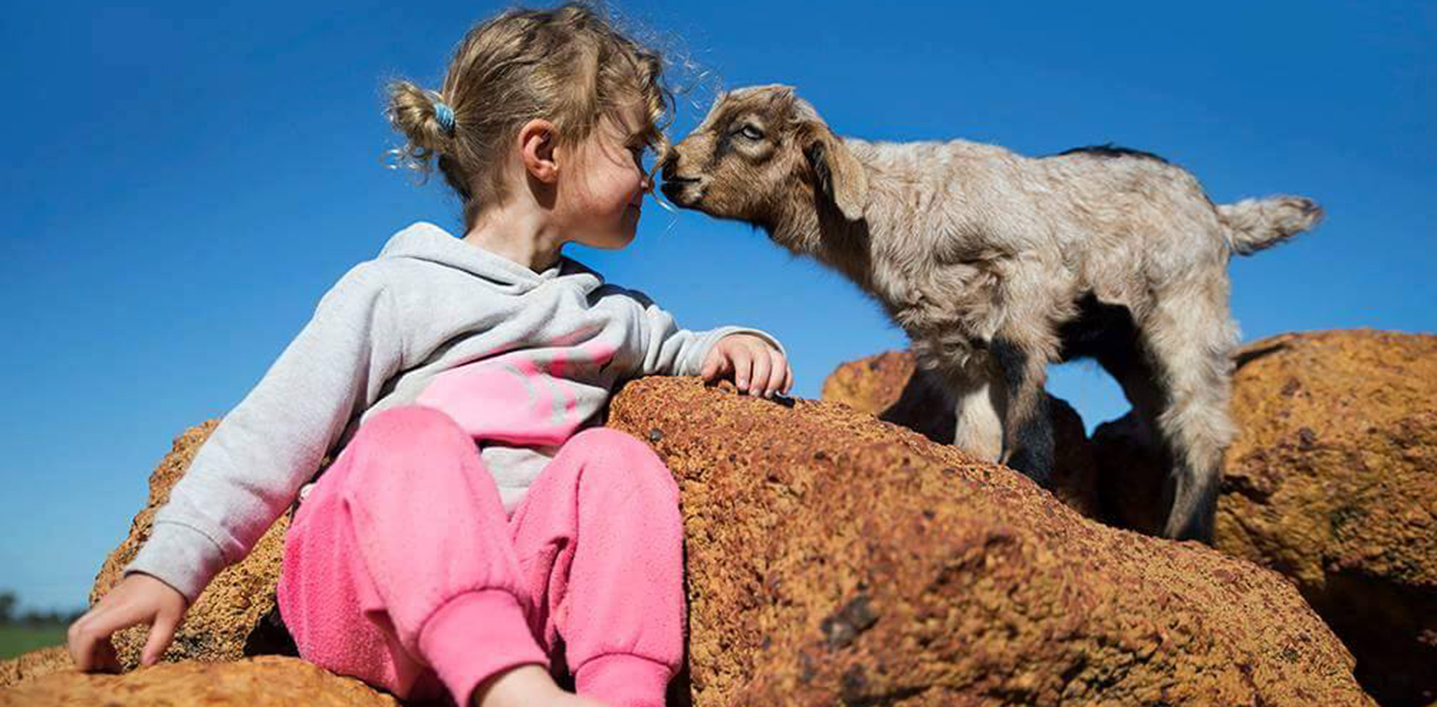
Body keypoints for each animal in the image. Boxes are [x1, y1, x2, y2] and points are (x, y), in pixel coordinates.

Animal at [659, 85, 1322, 543]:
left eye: (748, 131)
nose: (669, 169)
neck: (900, 206)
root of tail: (1220, 215)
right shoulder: (947, 339)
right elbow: (976, 423)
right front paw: (983, 469)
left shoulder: (1028, 277)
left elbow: (1021, 364)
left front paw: (1029, 468)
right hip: (1130, 347)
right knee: (1169, 424)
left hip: (1185, 306)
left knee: (1200, 425)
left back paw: (1187, 535)